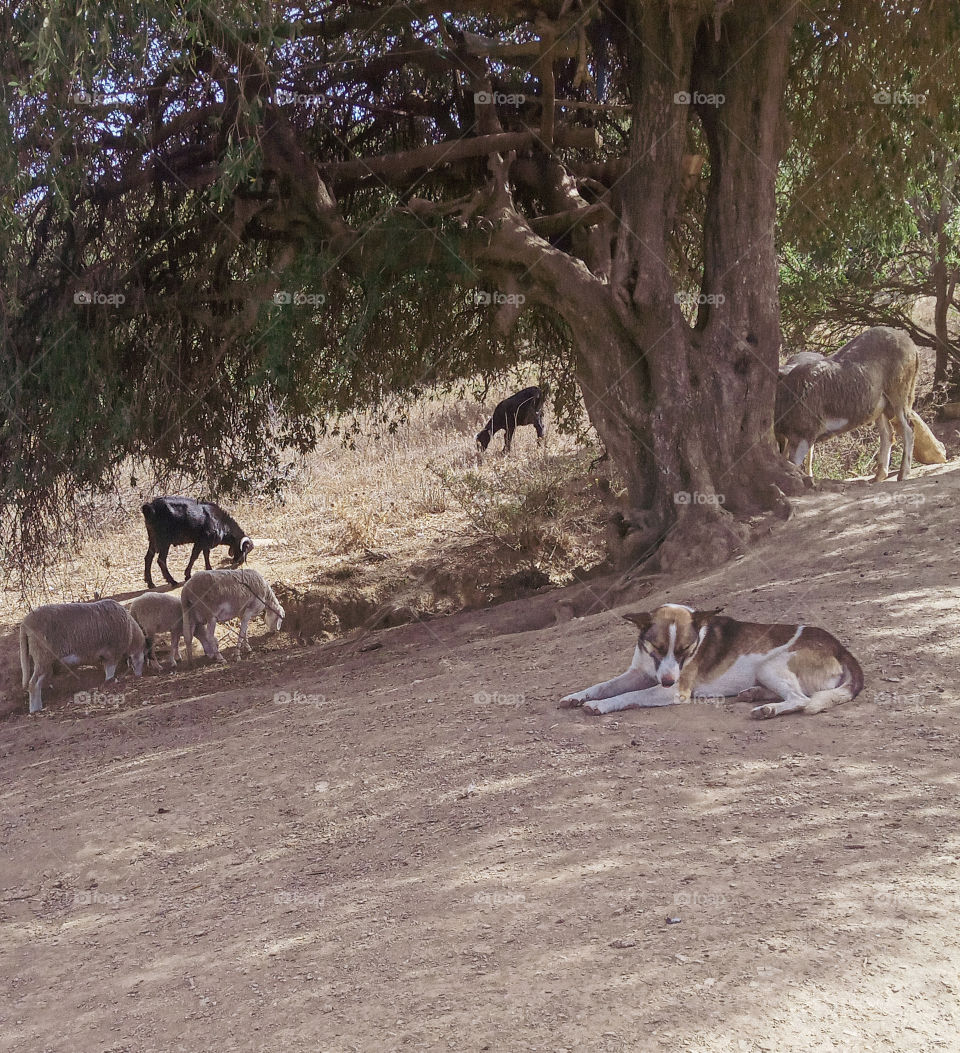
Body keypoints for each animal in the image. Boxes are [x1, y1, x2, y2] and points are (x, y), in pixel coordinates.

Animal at [555, 606, 863, 720]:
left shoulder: (673, 691)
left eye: (685, 650)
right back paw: (754, 694)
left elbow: (627, 696)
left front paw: (600, 706)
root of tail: (841, 648)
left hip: (770, 666)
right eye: (658, 648)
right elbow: (602, 685)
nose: (667, 679)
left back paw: (767, 710)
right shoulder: (638, 673)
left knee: (800, 699)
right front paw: (576, 697)